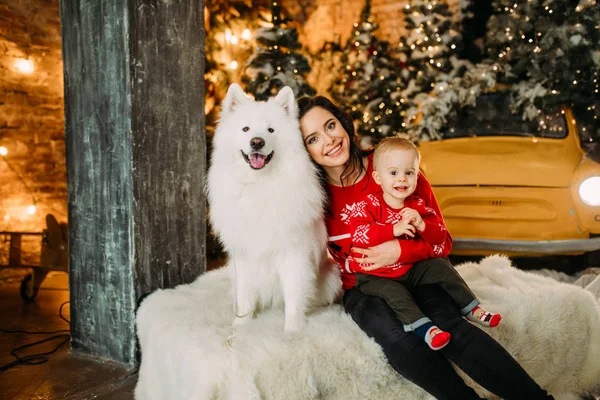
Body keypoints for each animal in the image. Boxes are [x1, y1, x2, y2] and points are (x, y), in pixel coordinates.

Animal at [206, 83, 340, 332]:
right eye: (246, 129)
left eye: (270, 130)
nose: (256, 142)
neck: (260, 184)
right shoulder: (245, 256)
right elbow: (245, 297)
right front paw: (241, 326)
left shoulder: (294, 254)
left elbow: (294, 298)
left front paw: (292, 331)